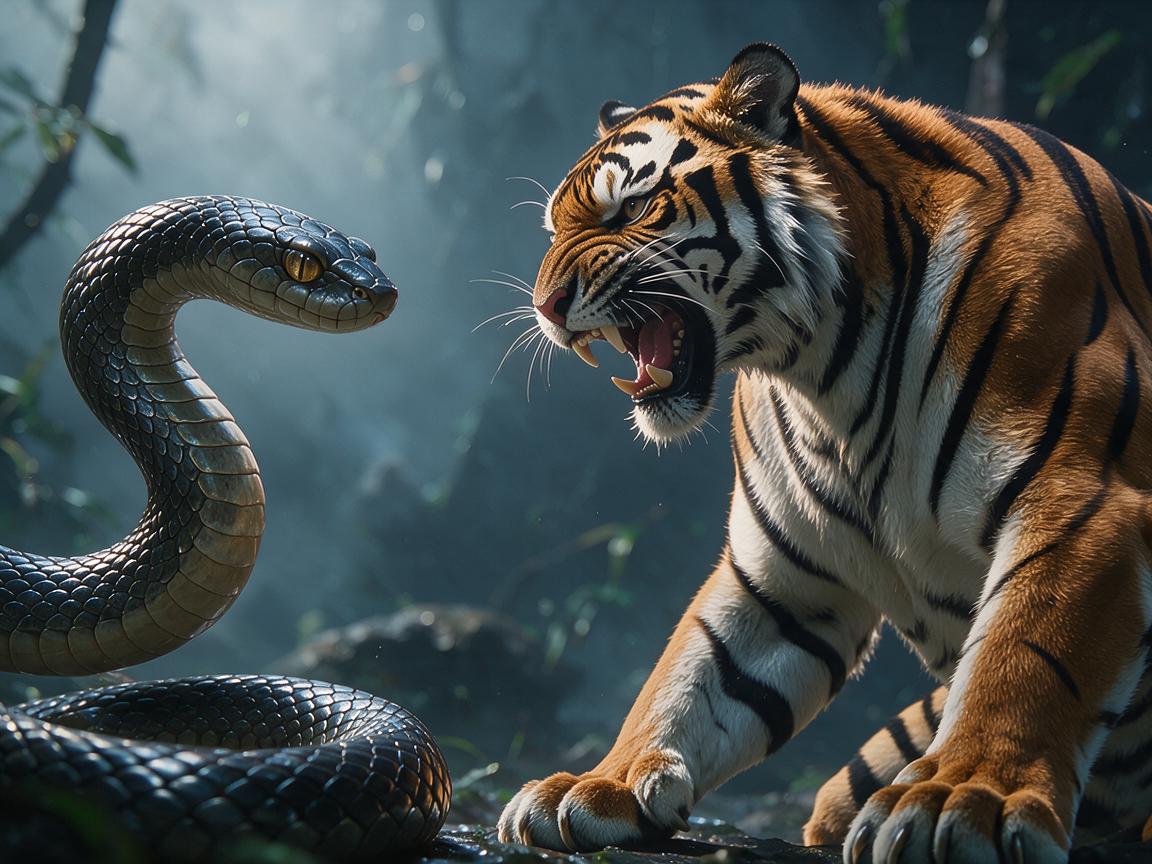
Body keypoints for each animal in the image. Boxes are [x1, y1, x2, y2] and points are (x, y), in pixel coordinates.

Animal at [494, 43, 1152, 863]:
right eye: (555, 226)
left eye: (634, 208)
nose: (544, 307)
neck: (828, 369)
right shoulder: (780, 580)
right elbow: (688, 677)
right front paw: (596, 785)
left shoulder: (1082, 500)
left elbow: (1024, 657)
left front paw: (963, 798)